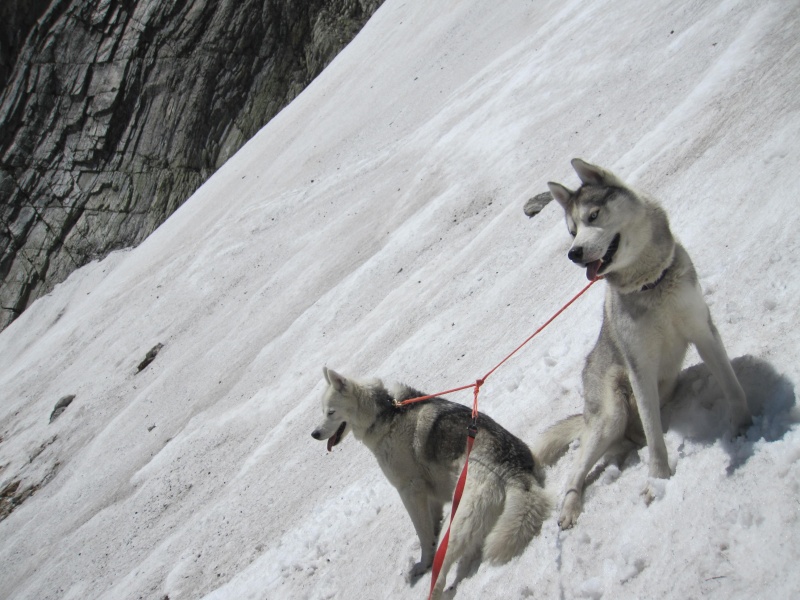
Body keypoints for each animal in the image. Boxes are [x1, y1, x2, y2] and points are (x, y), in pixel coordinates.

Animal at [310, 368, 552, 596]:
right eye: (322, 411)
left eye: (330, 412)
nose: (314, 434)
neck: (387, 415)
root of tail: (514, 469)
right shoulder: (431, 493)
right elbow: (432, 526)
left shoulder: (409, 490)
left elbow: (424, 534)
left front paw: (424, 563)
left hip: (458, 520)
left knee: (443, 571)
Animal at [536, 158, 752, 528]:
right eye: (571, 230)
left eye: (593, 216)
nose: (573, 253)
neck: (651, 284)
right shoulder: (639, 367)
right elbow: (655, 437)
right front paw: (658, 479)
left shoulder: (703, 331)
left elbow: (731, 384)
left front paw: (744, 426)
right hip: (611, 414)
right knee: (578, 470)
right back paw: (570, 507)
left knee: (632, 436)